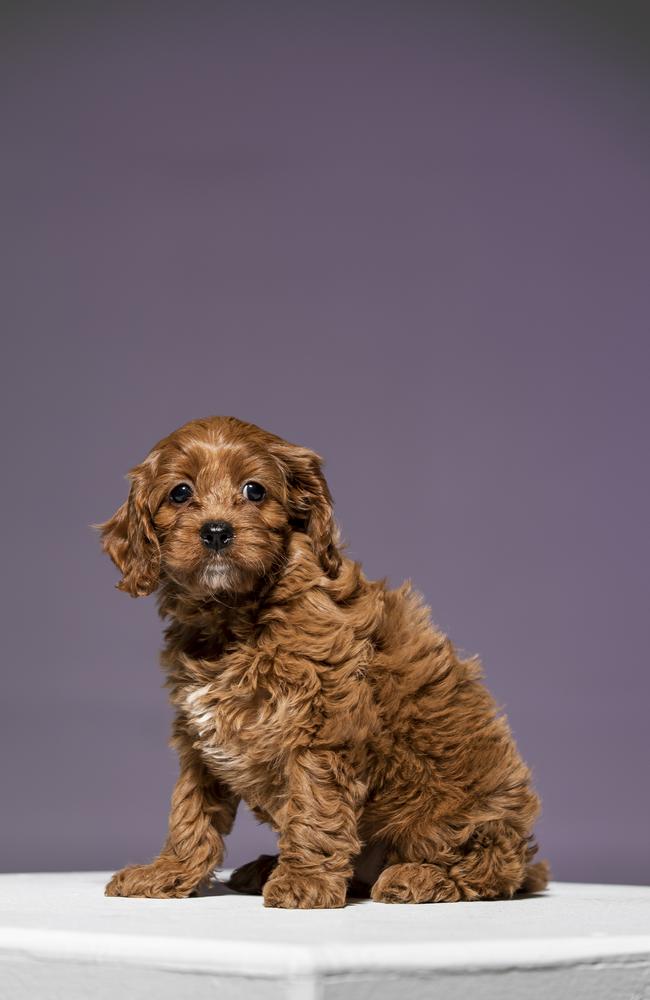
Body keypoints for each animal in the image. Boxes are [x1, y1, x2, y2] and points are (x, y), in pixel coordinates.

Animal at [97, 414, 548, 908]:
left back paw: (420, 878)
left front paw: (305, 881)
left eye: (255, 491)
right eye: (179, 492)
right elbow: (190, 809)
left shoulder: (323, 721)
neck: (235, 613)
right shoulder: (200, 738)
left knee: (489, 869)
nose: (216, 531)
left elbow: (315, 803)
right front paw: (169, 872)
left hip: (460, 817)